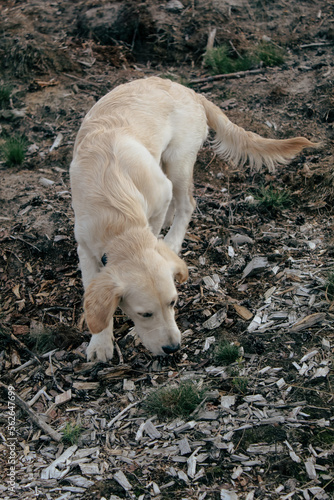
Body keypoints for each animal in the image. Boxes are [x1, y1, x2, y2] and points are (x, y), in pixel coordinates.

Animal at [70, 76, 316, 362]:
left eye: (173, 302)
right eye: (145, 314)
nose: (173, 348)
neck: (117, 210)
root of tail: (190, 91)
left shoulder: (159, 194)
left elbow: (158, 225)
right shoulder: (85, 246)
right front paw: (100, 342)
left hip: (178, 160)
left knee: (187, 204)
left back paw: (171, 242)